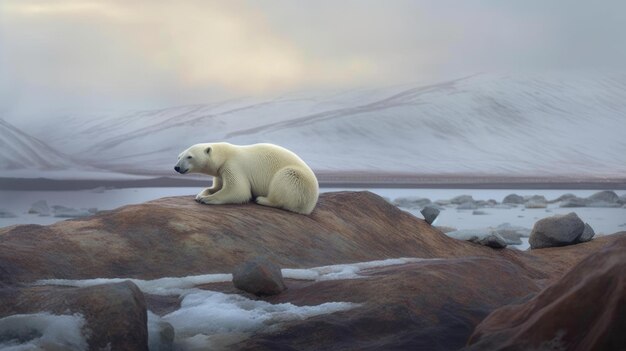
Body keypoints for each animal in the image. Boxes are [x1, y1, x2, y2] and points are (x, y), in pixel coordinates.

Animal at [174, 142, 316, 214]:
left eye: (189, 157)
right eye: (179, 156)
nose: (176, 167)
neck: (224, 154)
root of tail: (310, 205)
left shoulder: (233, 165)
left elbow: (238, 189)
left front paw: (206, 199)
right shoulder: (220, 171)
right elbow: (216, 186)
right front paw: (201, 195)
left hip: (297, 179)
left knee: (285, 179)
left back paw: (262, 199)